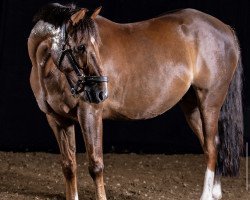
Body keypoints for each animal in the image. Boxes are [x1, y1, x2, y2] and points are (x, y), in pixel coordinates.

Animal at [27, 2, 244, 200]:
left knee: (211, 147)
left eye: (96, 45)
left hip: (209, 102)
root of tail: (226, 29)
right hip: (191, 106)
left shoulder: (89, 113)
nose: (100, 93)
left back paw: (206, 195)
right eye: (81, 46)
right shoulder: (57, 120)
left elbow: (96, 165)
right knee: (213, 144)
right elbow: (68, 165)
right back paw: (215, 192)